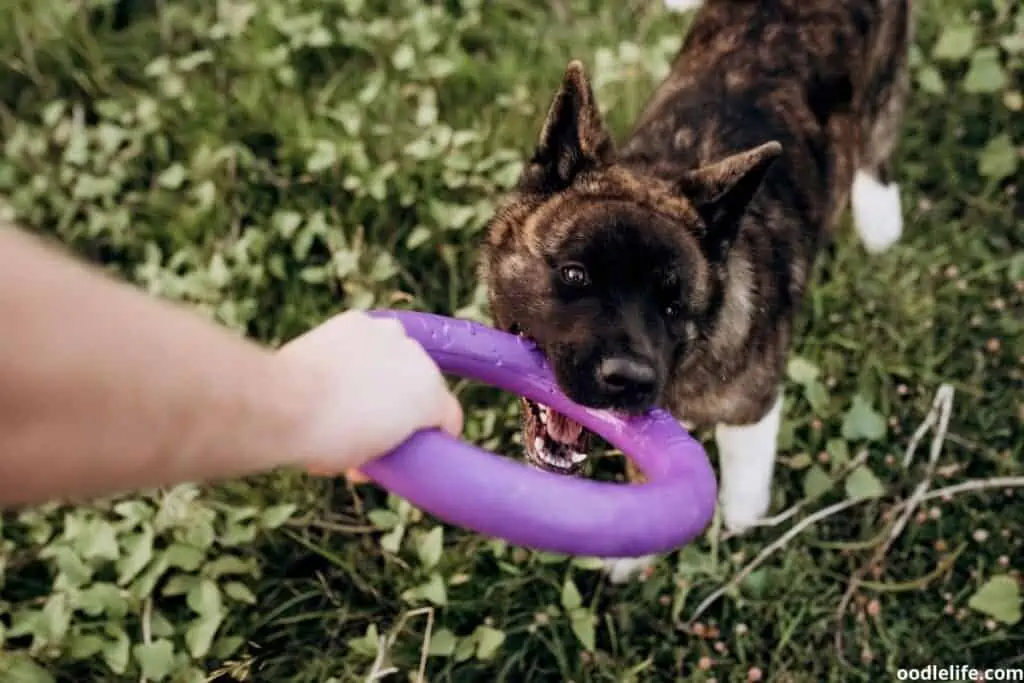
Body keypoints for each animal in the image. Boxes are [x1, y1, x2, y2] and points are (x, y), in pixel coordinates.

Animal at [477, 0, 913, 581]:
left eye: (673, 305)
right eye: (573, 275)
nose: (631, 380)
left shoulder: (751, 406)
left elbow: (743, 476)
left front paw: (740, 522)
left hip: (886, 81)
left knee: (877, 142)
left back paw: (879, 217)